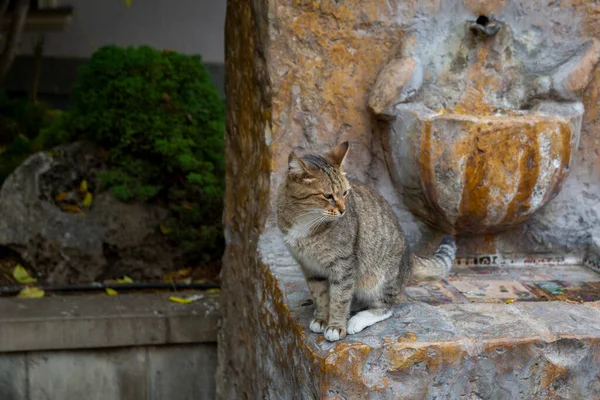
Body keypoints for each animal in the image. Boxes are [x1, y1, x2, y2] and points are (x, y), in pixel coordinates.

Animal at [276, 142, 454, 342]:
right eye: (328, 196)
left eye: (345, 193)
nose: (343, 210)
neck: (306, 220)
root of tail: (409, 257)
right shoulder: (309, 266)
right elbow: (319, 294)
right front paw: (322, 317)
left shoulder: (343, 264)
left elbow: (340, 297)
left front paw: (335, 326)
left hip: (379, 280)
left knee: (386, 306)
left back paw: (357, 319)